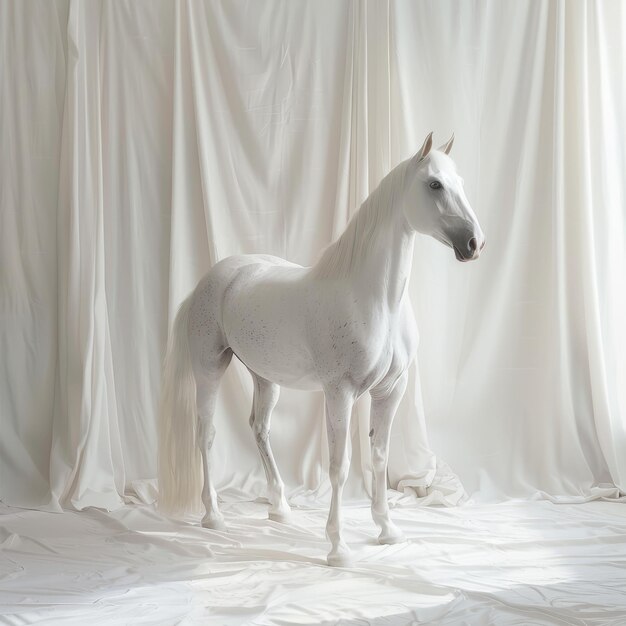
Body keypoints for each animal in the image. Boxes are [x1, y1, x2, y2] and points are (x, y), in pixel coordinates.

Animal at [157, 133, 482, 564]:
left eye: (459, 182)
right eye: (435, 184)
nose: (474, 243)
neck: (374, 299)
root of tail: (207, 281)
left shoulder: (390, 391)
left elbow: (379, 457)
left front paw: (387, 529)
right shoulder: (340, 393)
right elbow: (340, 466)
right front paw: (338, 547)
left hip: (265, 378)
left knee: (259, 429)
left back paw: (280, 506)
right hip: (209, 369)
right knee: (205, 433)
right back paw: (214, 516)